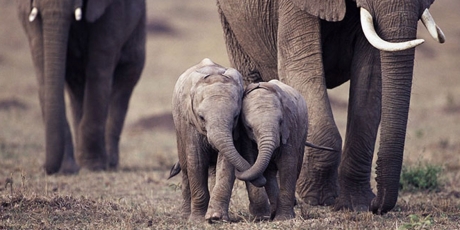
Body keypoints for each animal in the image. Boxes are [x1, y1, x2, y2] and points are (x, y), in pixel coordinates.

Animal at [17, 0, 146, 173]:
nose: (45, 168)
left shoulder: (112, 11)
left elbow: (99, 66)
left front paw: (93, 166)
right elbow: (42, 64)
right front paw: (67, 169)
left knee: (126, 78)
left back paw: (110, 163)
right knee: (77, 86)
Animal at [172, 58, 270, 222]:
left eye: (236, 116)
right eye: (201, 117)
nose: (263, 179)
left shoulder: (234, 131)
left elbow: (225, 163)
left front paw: (216, 217)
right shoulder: (190, 123)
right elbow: (197, 162)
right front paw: (198, 220)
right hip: (179, 126)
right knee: (186, 168)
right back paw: (185, 216)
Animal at [217, 0, 448, 214]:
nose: (377, 206)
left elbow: (372, 77)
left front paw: (356, 204)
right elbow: (302, 66)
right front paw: (317, 198)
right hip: (231, 24)